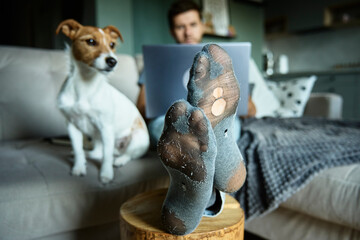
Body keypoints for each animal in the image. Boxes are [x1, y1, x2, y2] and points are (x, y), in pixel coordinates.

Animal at [55, 19, 148, 184]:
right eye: (91, 41)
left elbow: (106, 157)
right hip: (97, 139)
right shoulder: (72, 125)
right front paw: (79, 167)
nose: (113, 61)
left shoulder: (106, 127)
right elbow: (78, 150)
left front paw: (106, 174)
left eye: (112, 44)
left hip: (137, 139)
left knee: (127, 154)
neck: (85, 85)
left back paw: (119, 160)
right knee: (98, 153)